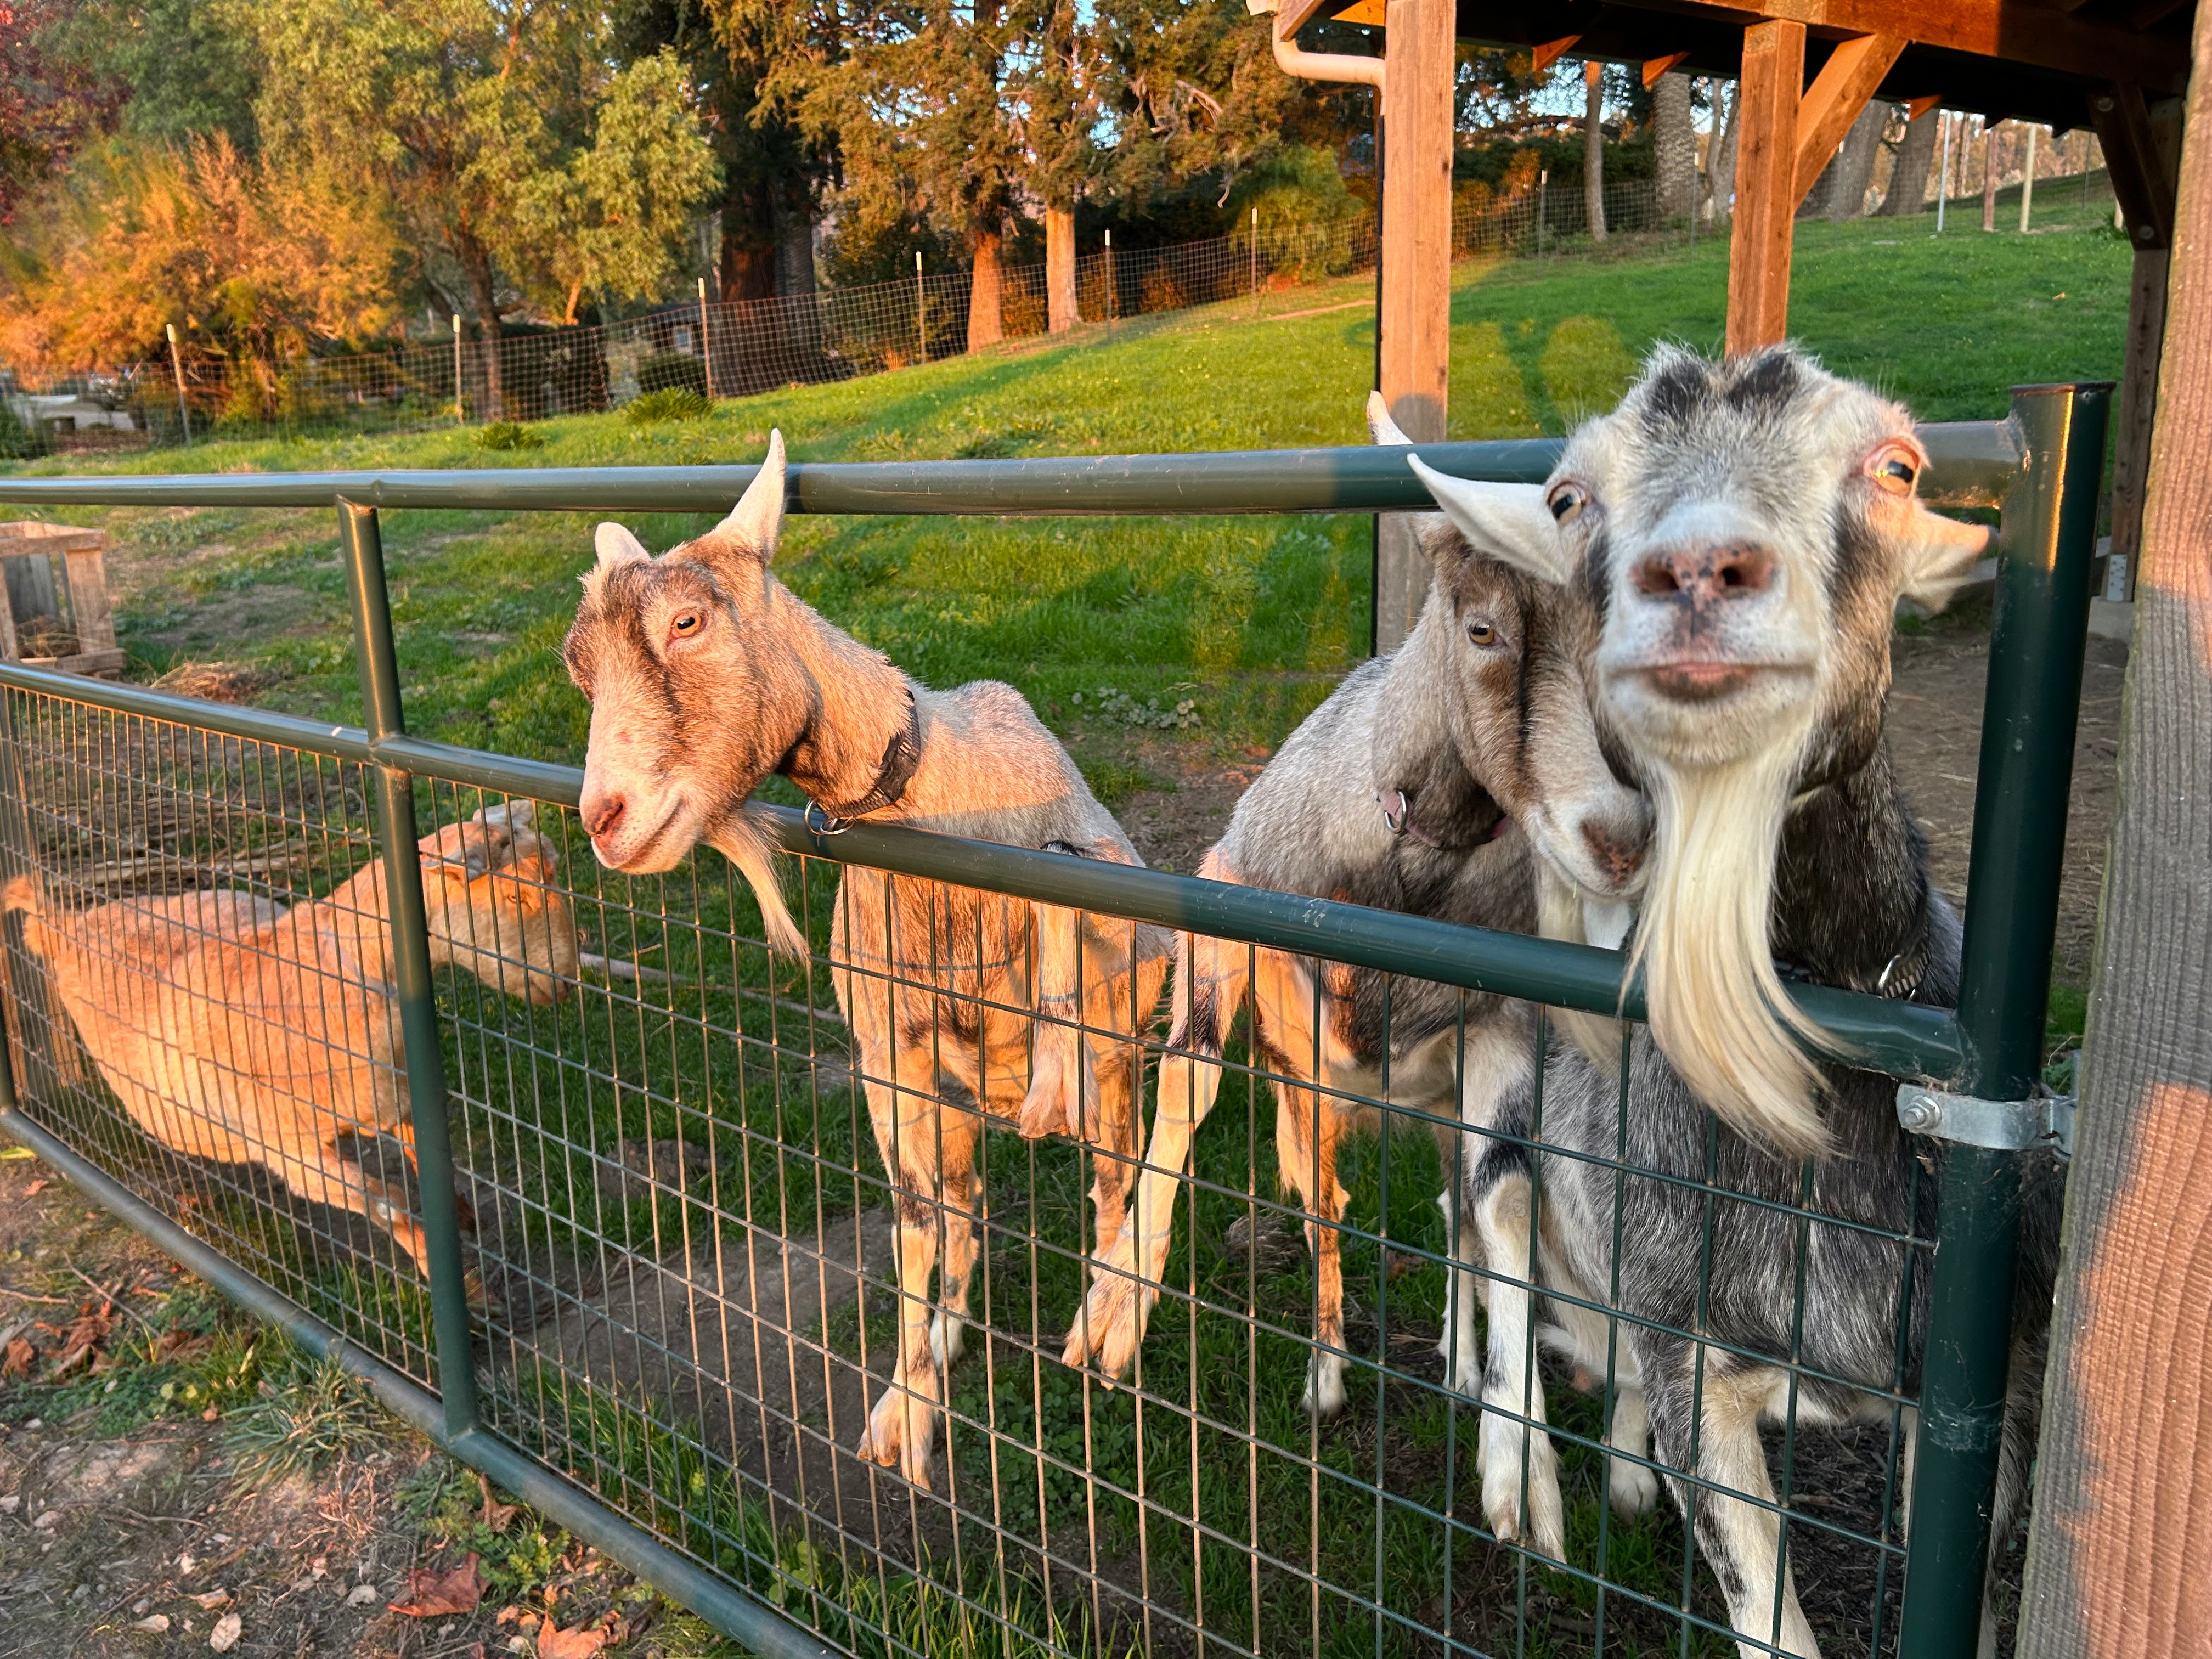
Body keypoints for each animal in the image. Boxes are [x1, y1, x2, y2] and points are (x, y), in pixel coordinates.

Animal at [5, 802, 577, 1273]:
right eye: (516, 894)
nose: (568, 980)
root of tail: (64, 924)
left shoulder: (395, 1095)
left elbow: (426, 1156)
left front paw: (457, 1219)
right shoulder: (293, 1155)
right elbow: (387, 1201)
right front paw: (460, 1285)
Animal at [561, 434, 1173, 1491]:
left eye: (688, 620)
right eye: (578, 669)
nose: (606, 819)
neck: (927, 791)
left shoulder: (1106, 961)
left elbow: (1099, 1185)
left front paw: (1096, 1329)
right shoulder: (889, 1054)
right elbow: (914, 1225)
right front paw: (907, 1412)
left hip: (1116, 1060)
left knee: (1111, 1185)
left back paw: (1103, 1325)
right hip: (954, 1096)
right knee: (965, 1207)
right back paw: (956, 1330)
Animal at [1061, 394, 1651, 1437]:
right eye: (1481, 628)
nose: (1621, 840)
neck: (1408, 873)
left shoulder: (1499, 1020)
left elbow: (1496, 1201)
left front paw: (1509, 1426)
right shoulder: (1234, 912)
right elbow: (1190, 1100)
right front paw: (1113, 1322)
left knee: (1457, 1211)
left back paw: (1460, 1364)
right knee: (1318, 1187)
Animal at [1415, 346, 2056, 1658]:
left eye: (1897, 465)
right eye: (1568, 497)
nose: (1699, 572)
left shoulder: (1992, 1385)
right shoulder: (1695, 1361)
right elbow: (1767, 1616)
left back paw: (1614, 1476)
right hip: (1501, 1070)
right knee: (1487, 1210)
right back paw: (1518, 1479)